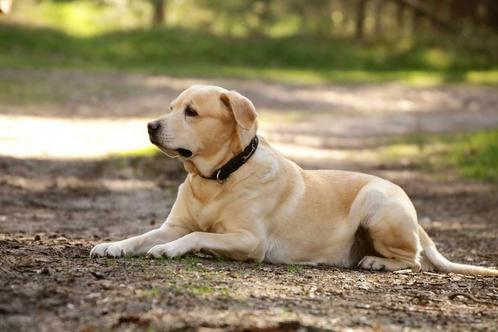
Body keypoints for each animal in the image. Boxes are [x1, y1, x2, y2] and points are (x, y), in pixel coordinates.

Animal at [92, 84, 498, 276]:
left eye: (191, 112)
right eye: (172, 108)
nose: (150, 125)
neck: (217, 178)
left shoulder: (250, 239)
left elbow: (196, 236)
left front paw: (172, 250)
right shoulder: (171, 225)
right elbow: (142, 236)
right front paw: (113, 245)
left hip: (377, 204)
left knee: (413, 261)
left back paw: (378, 263)